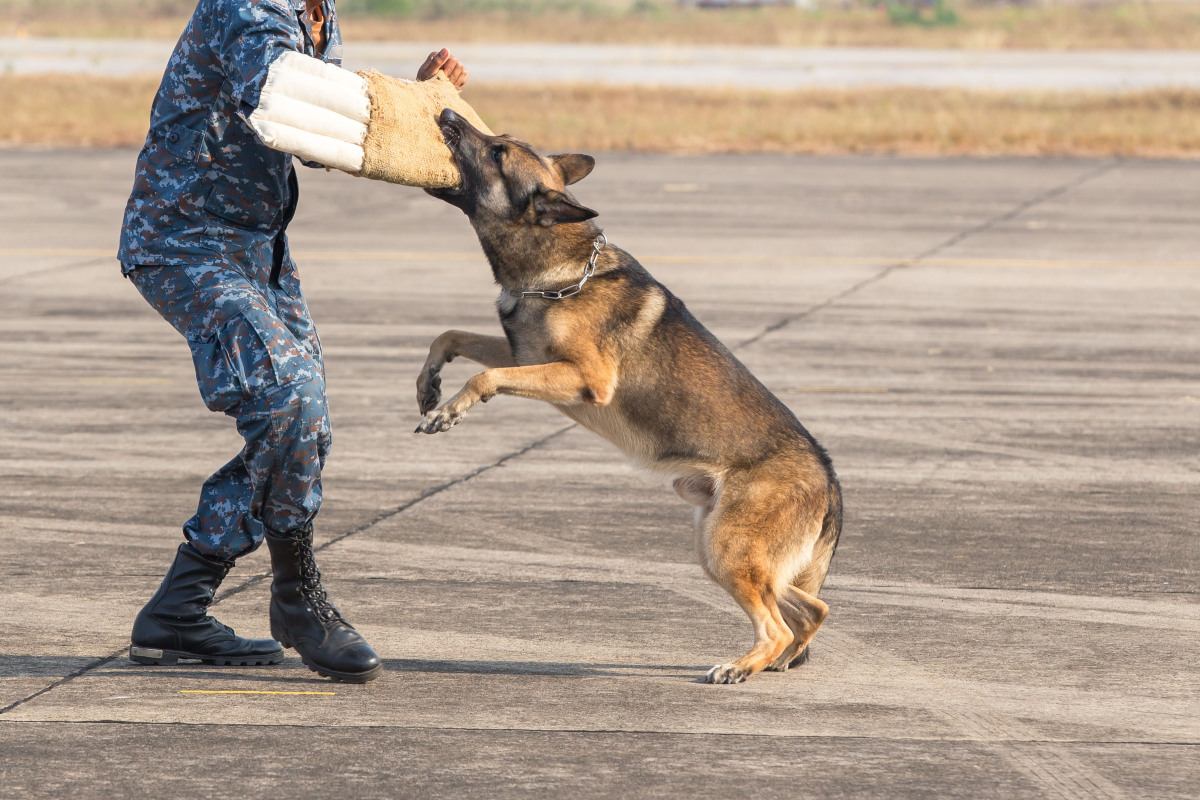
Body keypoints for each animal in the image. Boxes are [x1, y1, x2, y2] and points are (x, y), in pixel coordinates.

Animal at [417, 104, 840, 681]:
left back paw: (742, 666)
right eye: (497, 137)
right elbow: (450, 337)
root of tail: (828, 475)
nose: (446, 112)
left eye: (498, 152)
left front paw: (449, 411)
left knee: (776, 622)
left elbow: (483, 378)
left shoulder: (583, 378)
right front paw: (428, 383)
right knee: (811, 606)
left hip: (726, 550)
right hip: (720, 549)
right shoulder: (524, 357)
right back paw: (777, 660)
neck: (560, 267)